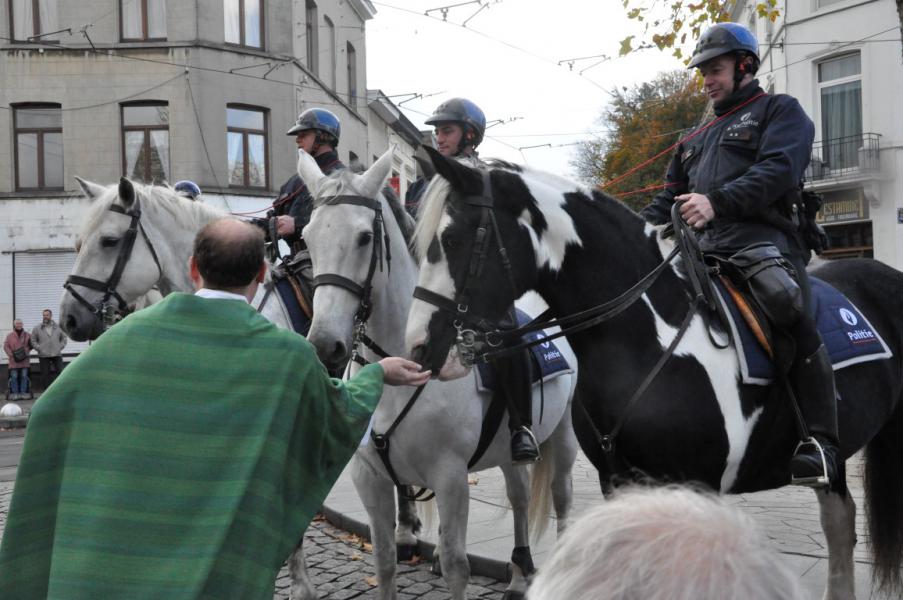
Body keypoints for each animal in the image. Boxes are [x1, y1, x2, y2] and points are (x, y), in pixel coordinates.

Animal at [296, 146, 580, 600]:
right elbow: (384, 560)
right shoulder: (369, 478)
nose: (325, 345)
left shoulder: (450, 479)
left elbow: (455, 565)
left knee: (562, 497)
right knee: (519, 495)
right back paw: (519, 575)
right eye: (307, 238)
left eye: (363, 237)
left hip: (565, 434)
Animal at [406, 146, 903, 600]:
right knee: (839, 522)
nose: (417, 347)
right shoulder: (618, 482)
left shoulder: (697, 487)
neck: (645, 338)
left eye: (451, 240)